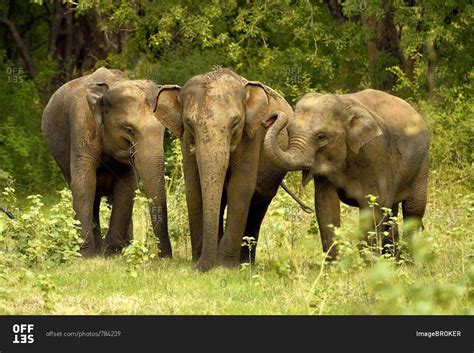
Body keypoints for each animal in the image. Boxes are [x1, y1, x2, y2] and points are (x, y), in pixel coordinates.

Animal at [42, 67, 172, 258]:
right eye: (128, 129)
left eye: (163, 130)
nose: (164, 257)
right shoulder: (82, 126)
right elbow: (85, 183)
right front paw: (86, 255)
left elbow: (126, 186)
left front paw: (110, 253)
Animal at [154, 69, 298, 270]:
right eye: (189, 123)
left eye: (235, 122)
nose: (200, 268)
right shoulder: (185, 140)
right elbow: (194, 189)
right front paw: (200, 260)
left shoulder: (252, 135)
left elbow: (240, 188)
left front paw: (224, 266)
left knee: (259, 204)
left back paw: (245, 263)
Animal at [262, 89, 430, 258]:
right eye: (289, 131)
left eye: (321, 136)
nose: (268, 120)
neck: (344, 106)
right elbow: (325, 206)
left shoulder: (376, 153)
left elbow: (373, 206)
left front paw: (367, 261)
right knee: (391, 212)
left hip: (421, 165)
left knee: (413, 211)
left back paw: (407, 259)